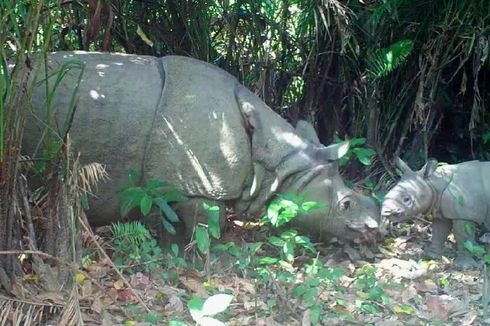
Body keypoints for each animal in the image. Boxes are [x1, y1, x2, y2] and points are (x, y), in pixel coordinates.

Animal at [22, 51, 378, 242]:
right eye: (346, 205)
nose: (378, 230)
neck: (277, 161)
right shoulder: (200, 186)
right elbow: (208, 228)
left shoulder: (172, 185)